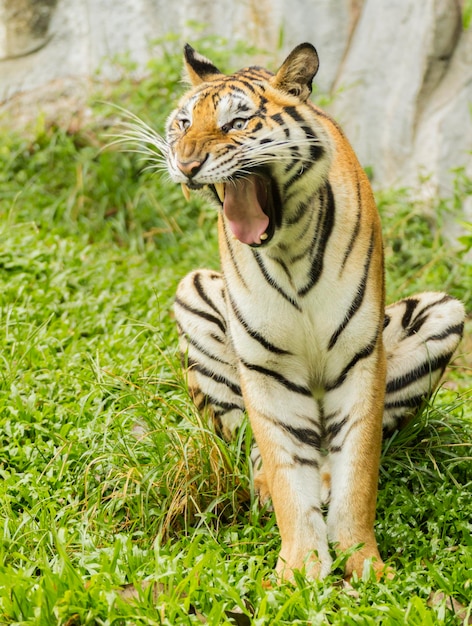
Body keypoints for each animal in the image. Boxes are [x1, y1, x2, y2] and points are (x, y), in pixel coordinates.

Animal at [124, 42, 464, 580]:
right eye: (183, 122)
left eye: (236, 122)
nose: (185, 163)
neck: (288, 248)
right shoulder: (267, 365)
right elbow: (285, 468)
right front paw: (302, 568)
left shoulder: (359, 356)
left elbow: (357, 473)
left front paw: (364, 562)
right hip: (194, 294)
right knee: (255, 451)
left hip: (440, 310)